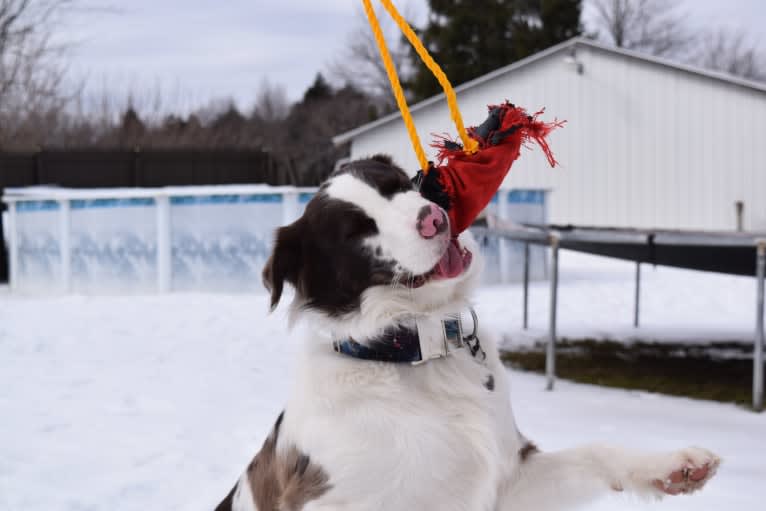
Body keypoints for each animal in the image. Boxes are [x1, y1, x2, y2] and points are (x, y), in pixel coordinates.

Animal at [214, 156, 720, 511]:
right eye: (357, 231)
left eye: (399, 186)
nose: (434, 218)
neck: (412, 351)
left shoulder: (508, 480)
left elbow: (595, 451)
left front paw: (671, 466)